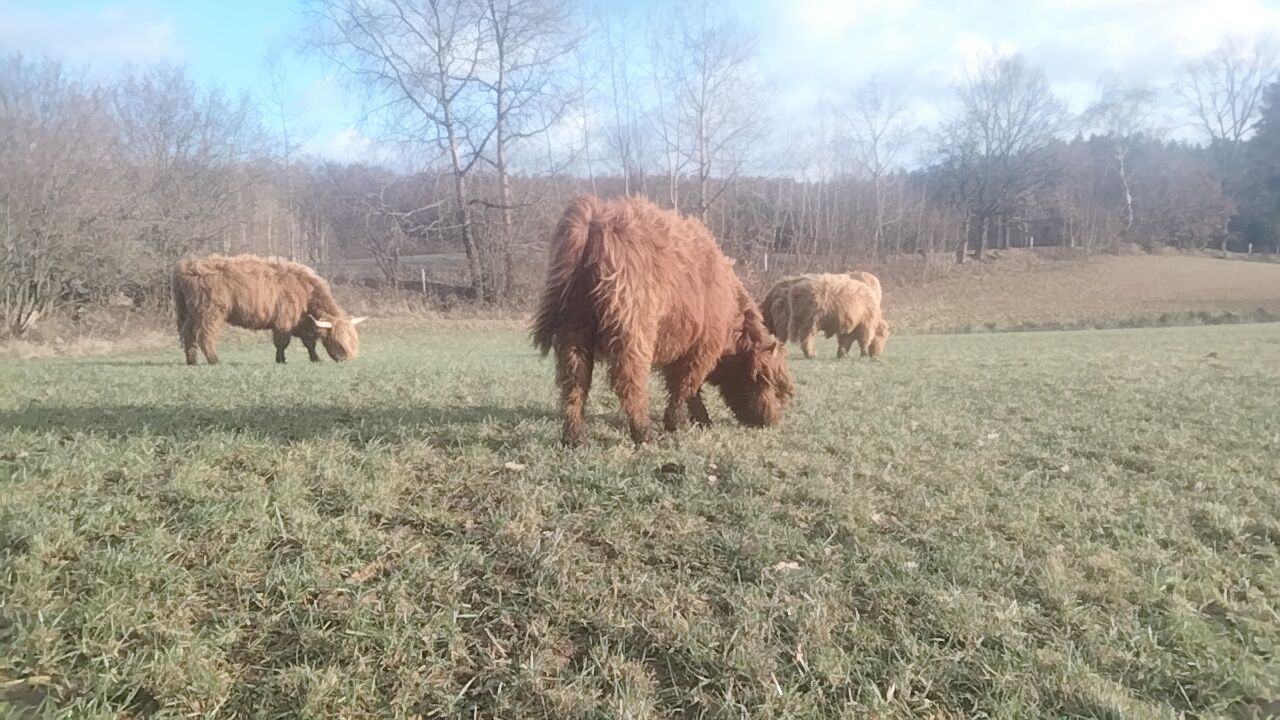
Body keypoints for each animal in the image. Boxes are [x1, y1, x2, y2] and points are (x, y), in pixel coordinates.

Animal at [172, 253, 368, 363]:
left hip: (189, 313)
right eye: (339, 343)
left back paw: (192, 360)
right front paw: (281, 360)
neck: (306, 294)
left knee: (188, 334)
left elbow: (309, 343)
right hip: (209, 312)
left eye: (355, 342)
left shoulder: (303, 324)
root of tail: (186, 265)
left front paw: (316, 359)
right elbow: (282, 343)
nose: (348, 359)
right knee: (204, 335)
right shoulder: (284, 321)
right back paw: (214, 359)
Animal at [529, 194, 788, 443]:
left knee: (574, 379)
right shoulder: (700, 348)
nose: (772, 421)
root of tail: (595, 220)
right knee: (629, 380)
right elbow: (686, 385)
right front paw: (681, 422)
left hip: (573, 326)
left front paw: (697, 419)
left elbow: (687, 387)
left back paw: (574, 436)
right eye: (771, 384)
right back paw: (643, 432)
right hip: (633, 330)